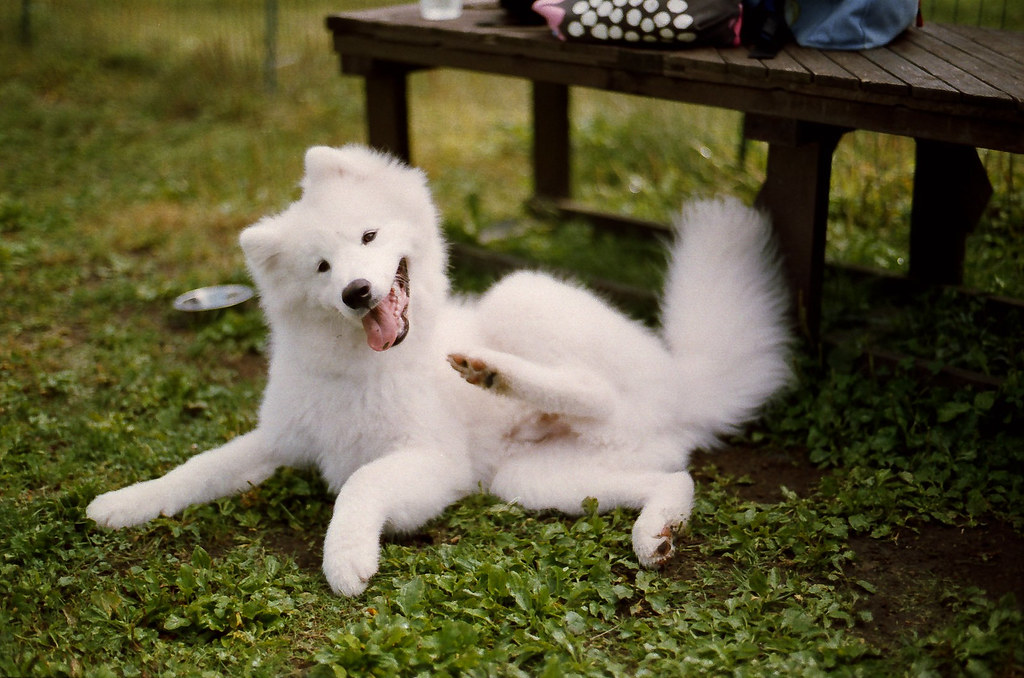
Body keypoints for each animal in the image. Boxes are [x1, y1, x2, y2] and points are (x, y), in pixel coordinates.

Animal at [88, 143, 790, 594]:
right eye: (322, 267)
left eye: (369, 237)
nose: (358, 292)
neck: (360, 370)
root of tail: (686, 385)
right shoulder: (278, 440)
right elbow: (196, 468)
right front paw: (125, 503)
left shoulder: (432, 463)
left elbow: (359, 484)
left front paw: (345, 557)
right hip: (535, 480)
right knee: (675, 478)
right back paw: (656, 532)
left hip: (521, 298)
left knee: (595, 390)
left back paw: (492, 371)